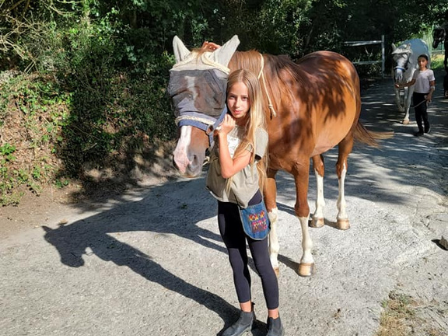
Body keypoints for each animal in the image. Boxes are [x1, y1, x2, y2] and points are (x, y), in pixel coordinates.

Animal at [170, 35, 390, 276]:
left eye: (216, 96)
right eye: (174, 95)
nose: (183, 159)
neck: (278, 110)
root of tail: (341, 60)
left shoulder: (300, 167)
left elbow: (300, 209)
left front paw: (306, 260)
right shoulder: (268, 170)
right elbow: (272, 212)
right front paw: (273, 261)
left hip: (346, 137)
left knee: (340, 170)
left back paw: (341, 217)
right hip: (318, 147)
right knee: (320, 169)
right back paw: (319, 216)